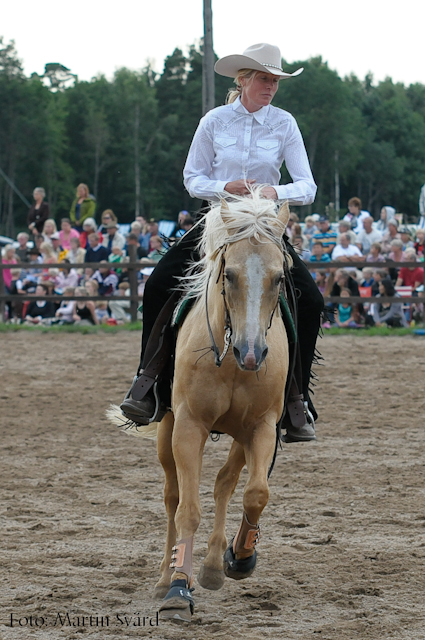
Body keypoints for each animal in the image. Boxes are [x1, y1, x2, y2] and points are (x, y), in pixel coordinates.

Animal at [108, 190, 292, 620]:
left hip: (240, 435)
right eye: (230, 274)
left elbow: (255, 493)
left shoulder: (261, 427)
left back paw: (211, 566)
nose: (252, 353)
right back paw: (167, 576)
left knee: (226, 484)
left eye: (278, 277)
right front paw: (179, 587)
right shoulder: (189, 426)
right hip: (167, 429)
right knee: (172, 496)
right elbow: (187, 508)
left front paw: (239, 557)